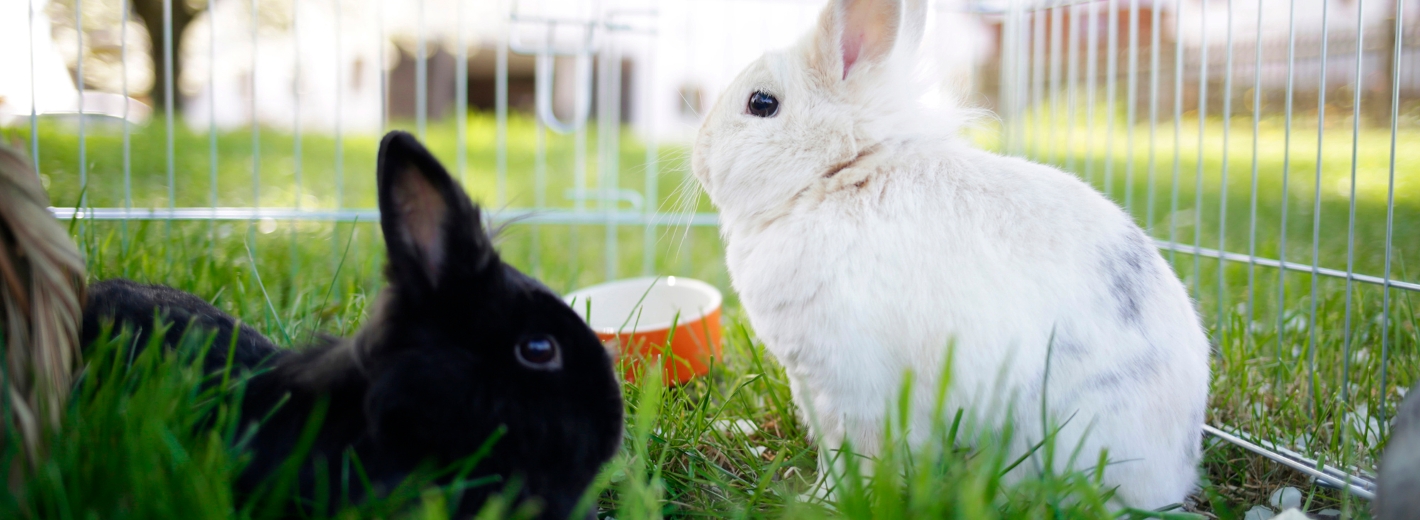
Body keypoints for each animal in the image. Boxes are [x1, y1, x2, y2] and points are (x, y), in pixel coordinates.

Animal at [690, 0, 1210, 509]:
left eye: (761, 103)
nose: (698, 153)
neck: (836, 177)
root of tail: (1176, 470)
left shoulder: (852, 387)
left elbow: (852, 456)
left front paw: (823, 499)